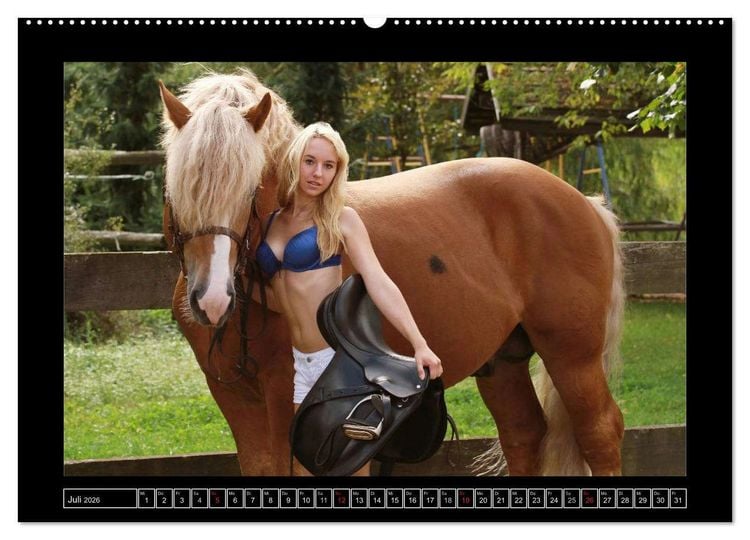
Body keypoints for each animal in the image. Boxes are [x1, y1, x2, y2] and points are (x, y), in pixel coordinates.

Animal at [158, 69, 625, 476]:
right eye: (177, 186)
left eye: (251, 190)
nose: (213, 300)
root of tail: (583, 202)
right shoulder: (234, 397)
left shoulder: (284, 394)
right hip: (502, 362)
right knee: (524, 434)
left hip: (572, 357)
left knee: (600, 433)